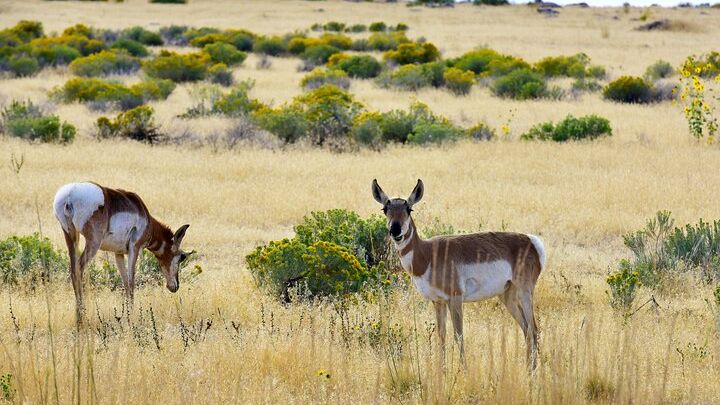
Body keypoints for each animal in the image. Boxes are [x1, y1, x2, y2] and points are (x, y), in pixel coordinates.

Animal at [53, 182, 192, 308]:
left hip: (70, 236)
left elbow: (125, 282)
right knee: (78, 268)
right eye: (181, 257)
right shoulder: (134, 249)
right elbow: (131, 282)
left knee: (72, 270)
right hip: (93, 244)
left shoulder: (118, 253)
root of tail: (69, 195)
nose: (175, 287)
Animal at [371, 179, 545, 369]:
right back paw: (528, 369)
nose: (395, 231)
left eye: (409, 209)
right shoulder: (438, 301)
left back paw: (533, 370)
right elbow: (442, 336)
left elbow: (458, 335)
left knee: (534, 329)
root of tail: (530, 240)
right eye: (385, 209)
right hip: (507, 296)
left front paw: (463, 370)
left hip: (524, 292)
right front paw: (442, 370)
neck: (428, 254)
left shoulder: (455, 298)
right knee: (526, 329)